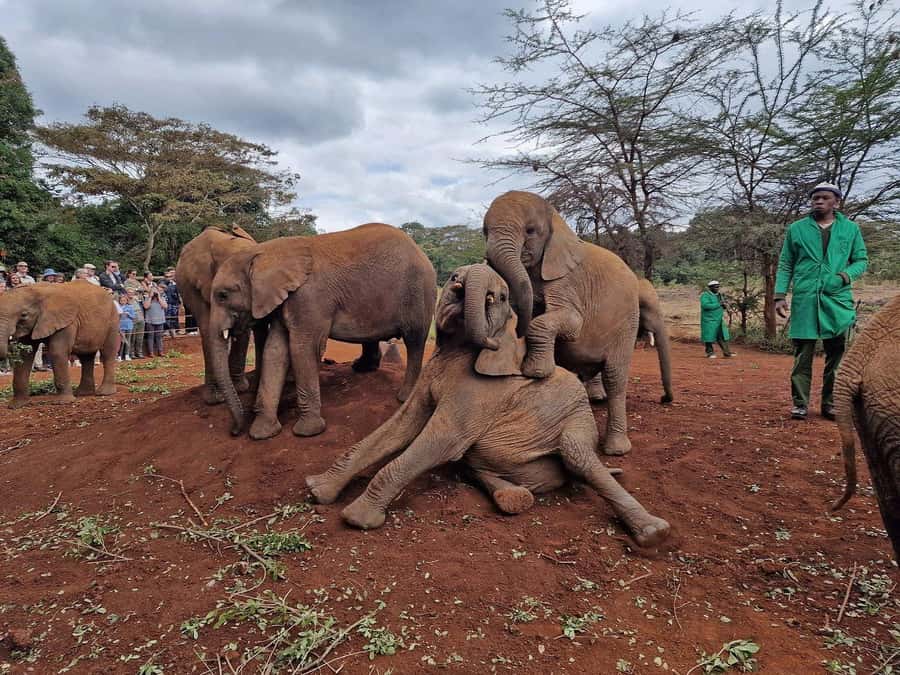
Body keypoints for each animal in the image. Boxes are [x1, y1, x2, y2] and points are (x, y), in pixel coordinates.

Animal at [209, 222, 437, 439]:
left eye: (223, 295)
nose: (234, 432)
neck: (265, 252)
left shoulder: (309, 298)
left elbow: (303, 348)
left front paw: (307, 432)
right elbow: (275, 351)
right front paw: (262, 433)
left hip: (420, 293)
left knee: (415, 340)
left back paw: (403, 397)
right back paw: (362, 368)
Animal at [306, 264, 671, 548]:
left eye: (503, 297)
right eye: (453, 277)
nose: (463, 287)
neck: (458, 348)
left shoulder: (482, 392)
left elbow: (440, 439)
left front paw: (357, 518)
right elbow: (399, 427)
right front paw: (317, 490)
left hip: (578, 418)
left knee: (578, 457)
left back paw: (653, 531)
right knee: (479, 463)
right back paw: (513, 496)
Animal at [482, 190, 640, 455]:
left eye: (531, 231)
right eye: (484, 231)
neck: (557, 218)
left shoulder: (568, 280)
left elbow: (572, 323)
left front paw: (536, 371)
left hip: (627, 322)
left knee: (615, 376)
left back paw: (616, 449)